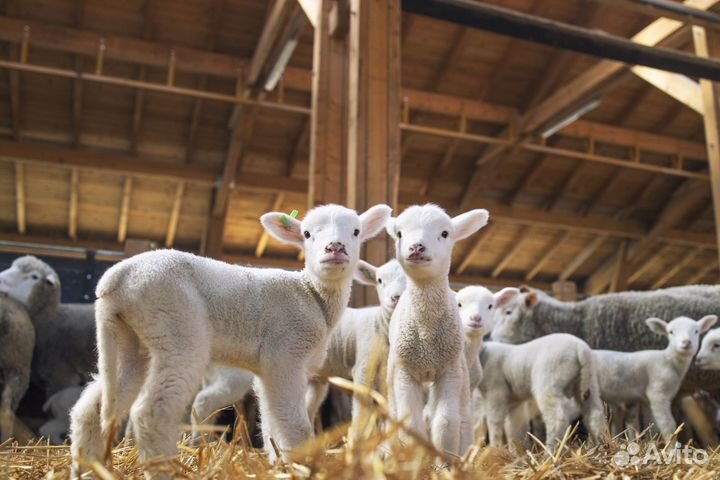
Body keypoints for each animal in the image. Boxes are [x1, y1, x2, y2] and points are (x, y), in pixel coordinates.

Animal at [68, 203, 391, 473]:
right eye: (307, 234)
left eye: (356, 232)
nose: (335, 248)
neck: (312, 294)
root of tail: (116, 279)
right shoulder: (285, 353)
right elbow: (294, 422)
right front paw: (300, 464)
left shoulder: (268, 369)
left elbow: (271, 419)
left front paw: (277, 461)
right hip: (176, 328)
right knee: (152, 412)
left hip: (130, 339)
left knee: (91, 408)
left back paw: (86, 468)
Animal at [306, 258, 407, 435]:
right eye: (379, 280)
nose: (396, 298)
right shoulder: (363, 366)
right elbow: (361, 410)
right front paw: (357, 437)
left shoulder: (386, 371)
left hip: (315, 378)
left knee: (308, 409)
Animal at [385, 204, 488, 457]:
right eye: (399, 234)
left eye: (444, 233)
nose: (416, 247)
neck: (426, 334)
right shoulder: (404, 372)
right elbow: (411, 425)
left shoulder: (448, 371)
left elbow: (446, 423)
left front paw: (446, 461)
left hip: (461, 373)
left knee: (463, 417)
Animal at [478, 333, 608, 449]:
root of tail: (580, 348)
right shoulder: (514, 401)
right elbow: (514, 427)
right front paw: (516, 451)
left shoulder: (496, 391)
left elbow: (495, 422)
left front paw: (495, 448)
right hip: (588, 382)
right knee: (594, 414)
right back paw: (598, 445)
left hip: (549, 379)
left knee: (557, 419)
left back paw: (550, 451)